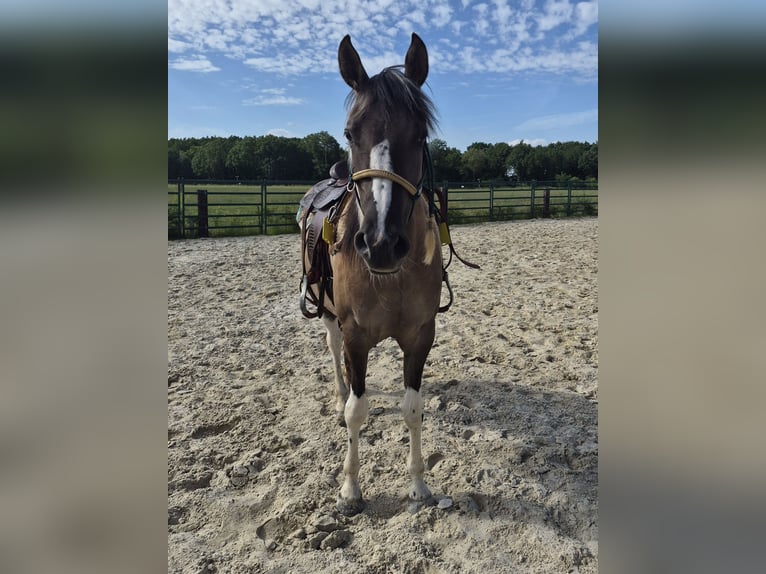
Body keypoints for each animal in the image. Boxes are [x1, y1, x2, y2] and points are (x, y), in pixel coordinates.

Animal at [300, 33, 442, 516]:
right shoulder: (357, 336)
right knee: (333, 352)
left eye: (420, 134)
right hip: (328, 316)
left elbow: (413, 409)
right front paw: (350, 490)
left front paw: (418, 485)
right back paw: (339, 392)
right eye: (349, 132)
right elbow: (356, 413)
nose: (380, 242)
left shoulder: (420, 335)